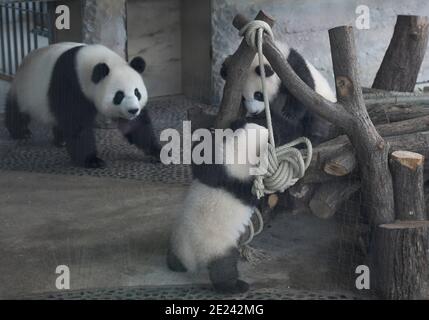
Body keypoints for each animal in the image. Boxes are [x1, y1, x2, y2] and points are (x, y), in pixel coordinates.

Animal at [4, 42, 158, 168]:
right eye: (119, 96)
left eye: (137, 92)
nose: (133, 110)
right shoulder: (69, 84)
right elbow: (77, 124)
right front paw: (92, 160)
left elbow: (136, 126)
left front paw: (156, 151)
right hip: (25, 91)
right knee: (17, 112)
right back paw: (22, 133)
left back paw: (60, 140)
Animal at [167, 119, 268, 292]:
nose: (268, 130)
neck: (239, 150)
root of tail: (192, 263)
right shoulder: (238, 180)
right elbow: (252, 193)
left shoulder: (217, 168)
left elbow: (202, 164)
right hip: (218, 248)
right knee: (224, 269)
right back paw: (235, 286)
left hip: (178, 241)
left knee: (174, 258)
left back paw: (174, 264)